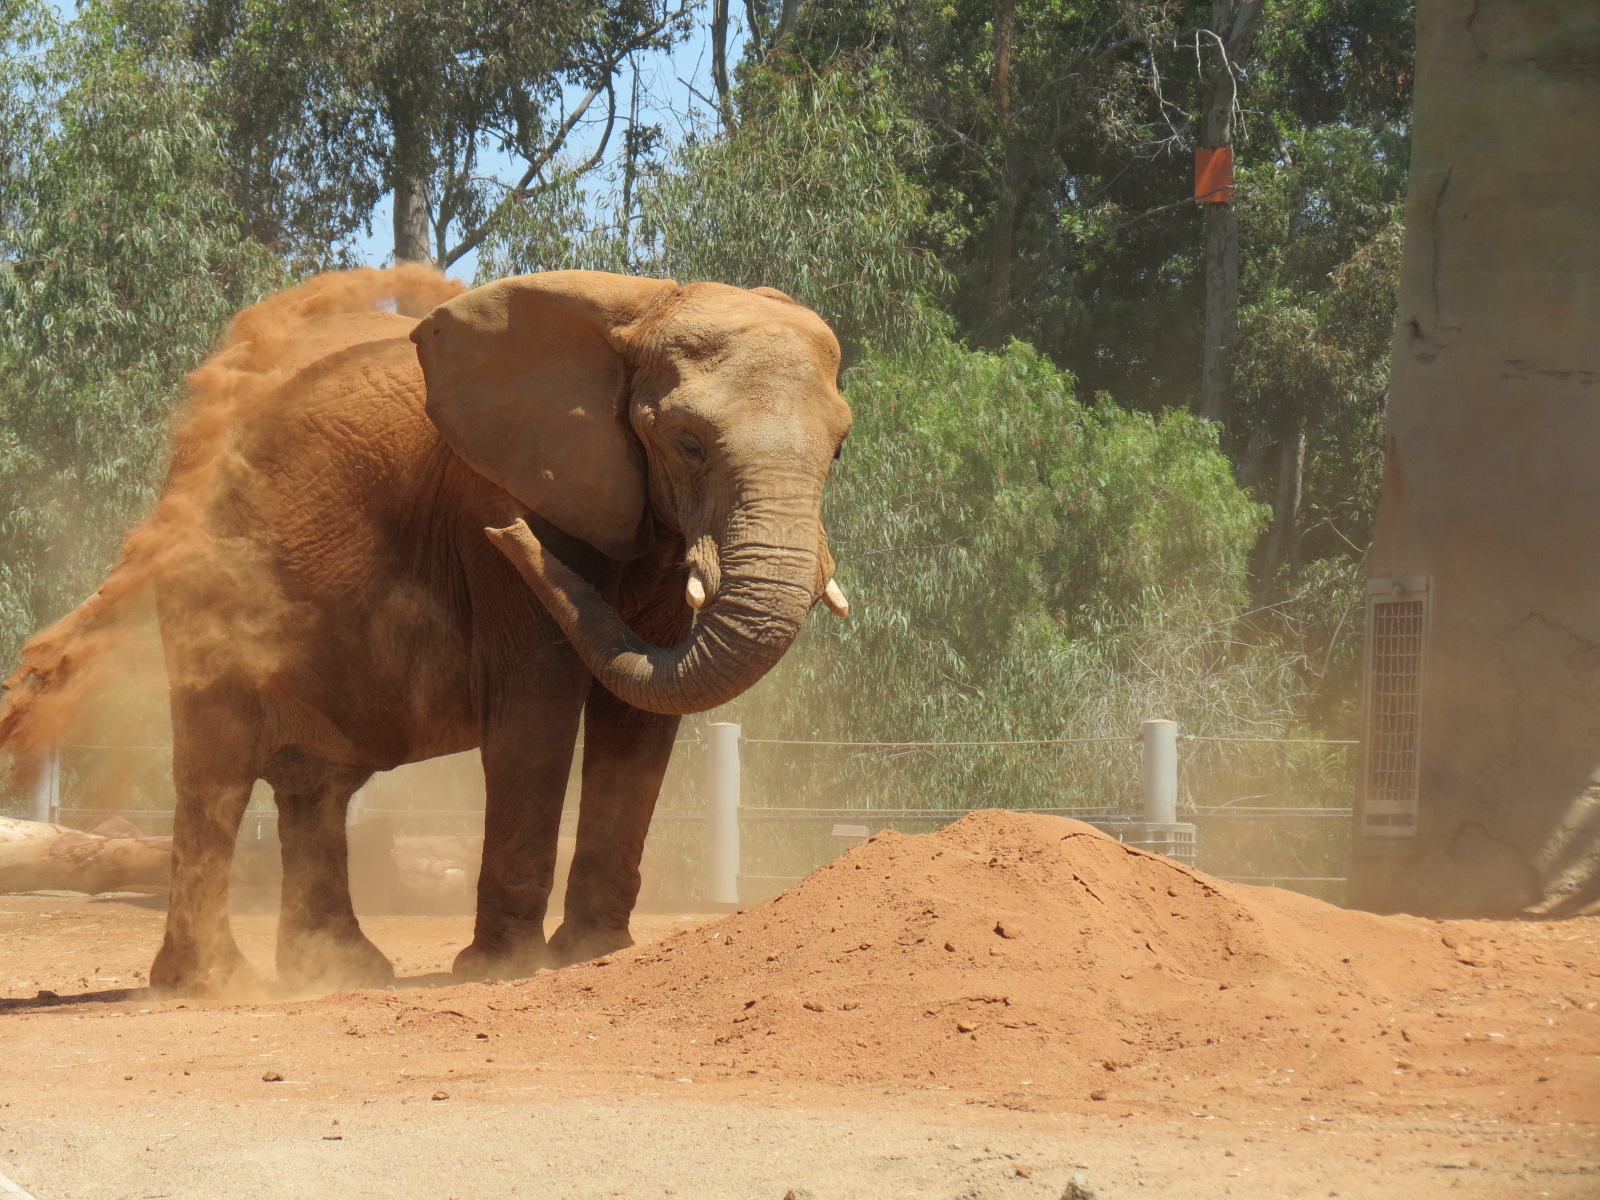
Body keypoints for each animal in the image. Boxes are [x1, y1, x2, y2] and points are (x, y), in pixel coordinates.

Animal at [0, 266, 852, 995]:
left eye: (840, 446)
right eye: (687, 443)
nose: (514, 536)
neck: (636, 312)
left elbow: (639, 723)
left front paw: (594, 955)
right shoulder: (491, 498)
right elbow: (536, 710)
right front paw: (502, 970)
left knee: (317, 785)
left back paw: (339, 974)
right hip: (210, 590)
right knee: (217, 774)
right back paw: (214, 985)